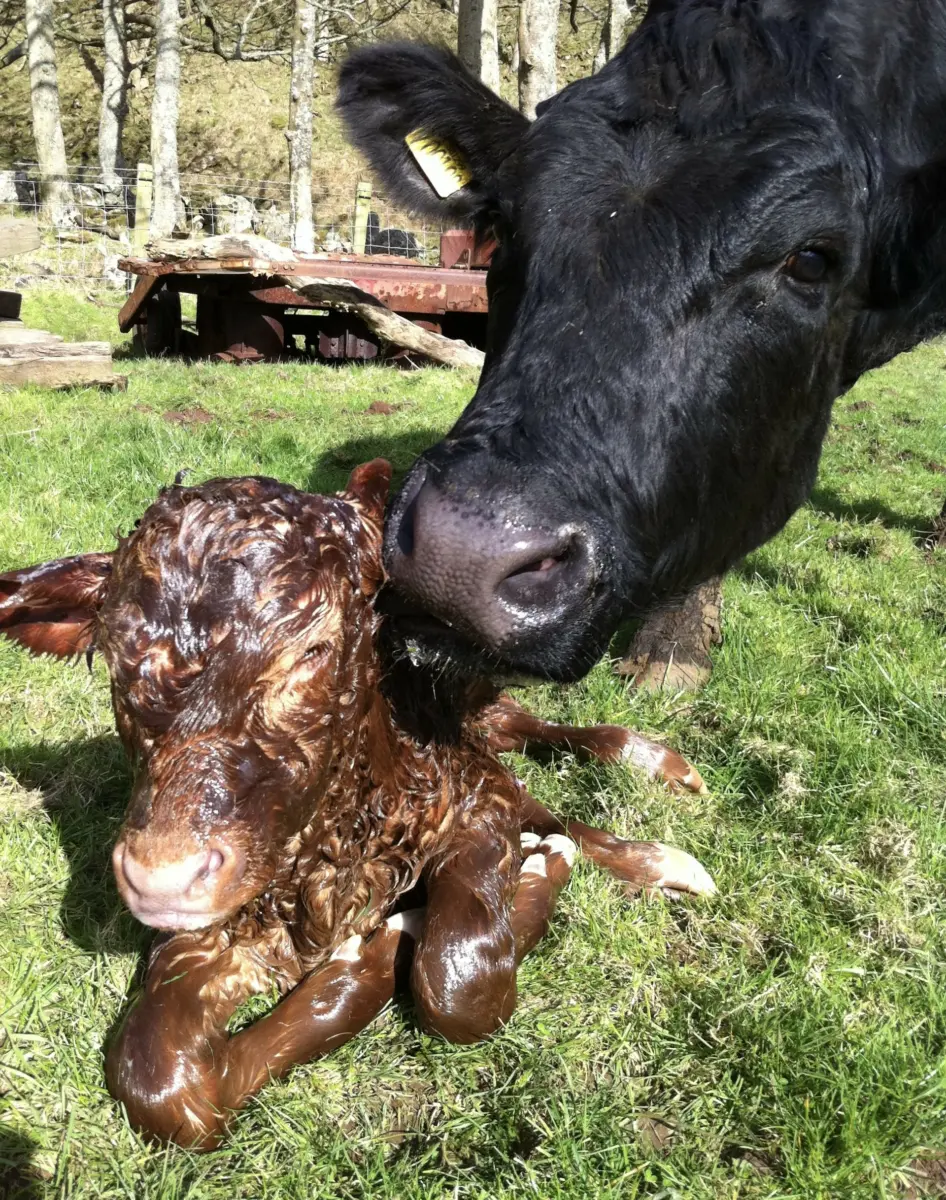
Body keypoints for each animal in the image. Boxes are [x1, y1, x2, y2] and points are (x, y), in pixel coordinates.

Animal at [0, 464, 712, 1148]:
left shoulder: (471, 799)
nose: (162, 879)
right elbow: (158, 1086)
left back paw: (651, 784)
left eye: (313, 650)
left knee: (523, 732)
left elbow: (457, 986)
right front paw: (370, 956)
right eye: (116, 657)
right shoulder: (215, 921)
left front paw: (529, 880)